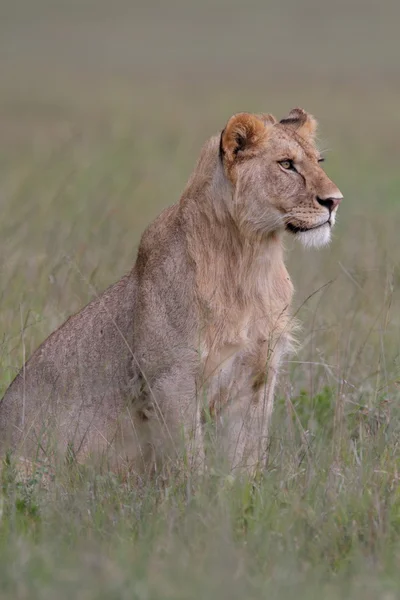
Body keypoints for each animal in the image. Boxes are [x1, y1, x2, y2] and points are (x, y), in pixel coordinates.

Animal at [1, 106, 342, 474]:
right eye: (287, 164)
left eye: (318, 161)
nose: (334, 202)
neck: (252, 257)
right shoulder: (171, 376)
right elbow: (189, 459)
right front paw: (195, 490)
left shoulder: (257, 375)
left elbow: (247, 456)